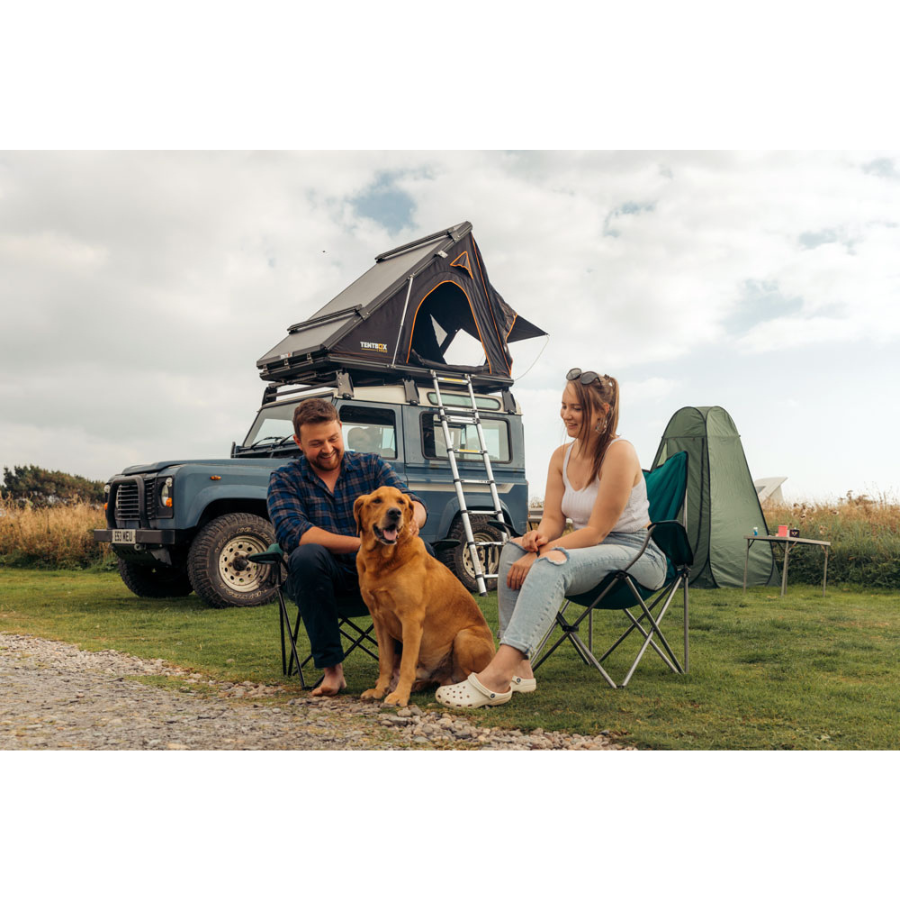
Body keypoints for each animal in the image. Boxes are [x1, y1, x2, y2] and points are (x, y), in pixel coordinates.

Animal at [354, 486, 496, 704]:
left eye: (401, 502)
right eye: (377, 501)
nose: (394, 513)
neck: (382, 561)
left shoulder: (411, 620)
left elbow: (406, 664)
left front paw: (399, 695)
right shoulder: (380, 622)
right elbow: (385, 662)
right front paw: (379, 690)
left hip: (463, 637)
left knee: (470, 677)